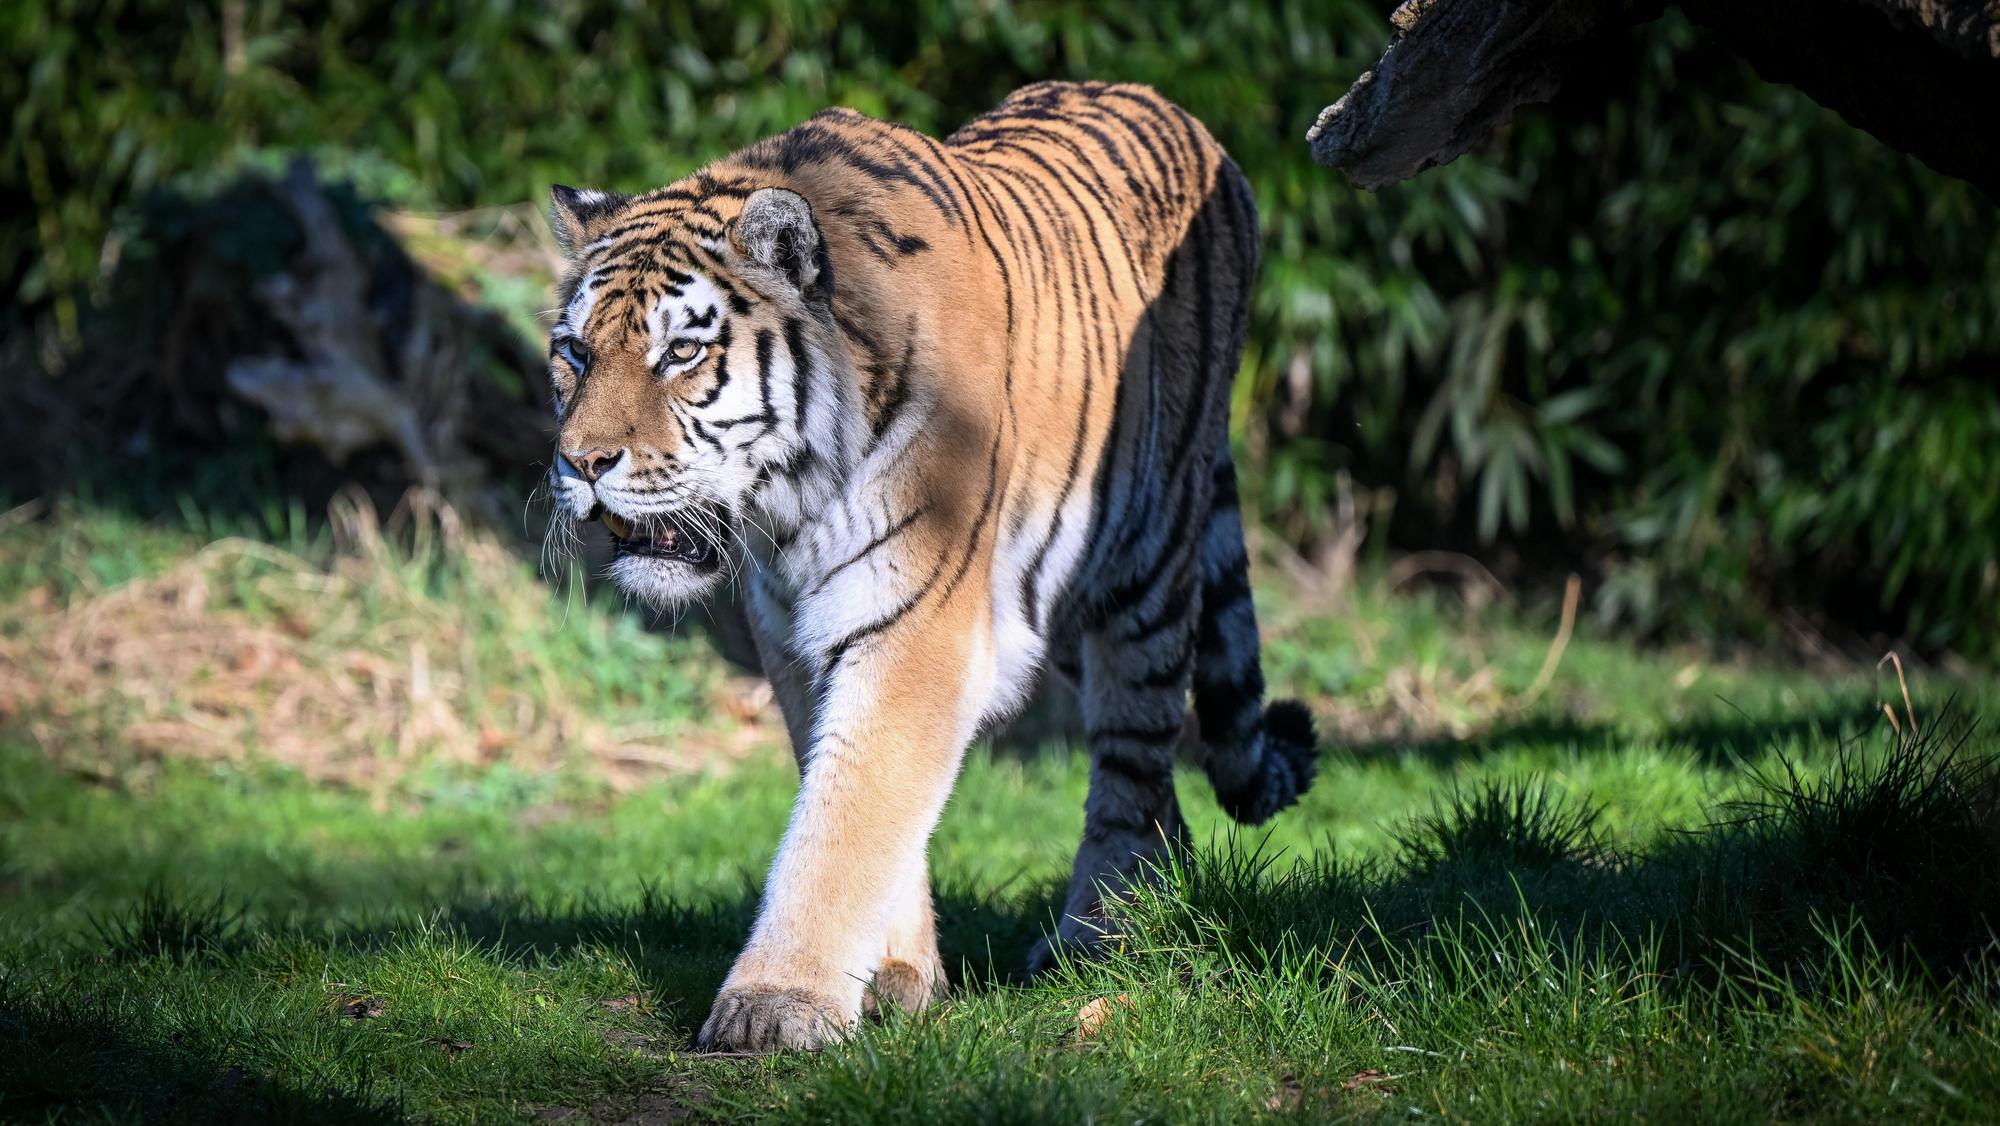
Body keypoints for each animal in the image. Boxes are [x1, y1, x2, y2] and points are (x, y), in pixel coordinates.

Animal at [542, 80, 1318, 1051]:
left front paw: (778, 1004)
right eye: (575, 353)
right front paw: (898, 979)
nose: (580, 463)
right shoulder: (798, 637)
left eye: (681, 352)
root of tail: (1180, 114)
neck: (791, 509)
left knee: (1131, 769)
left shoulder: (917, 624)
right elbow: (864, 799)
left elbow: (848, 815)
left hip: (1145, 569)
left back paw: (1100, 942)